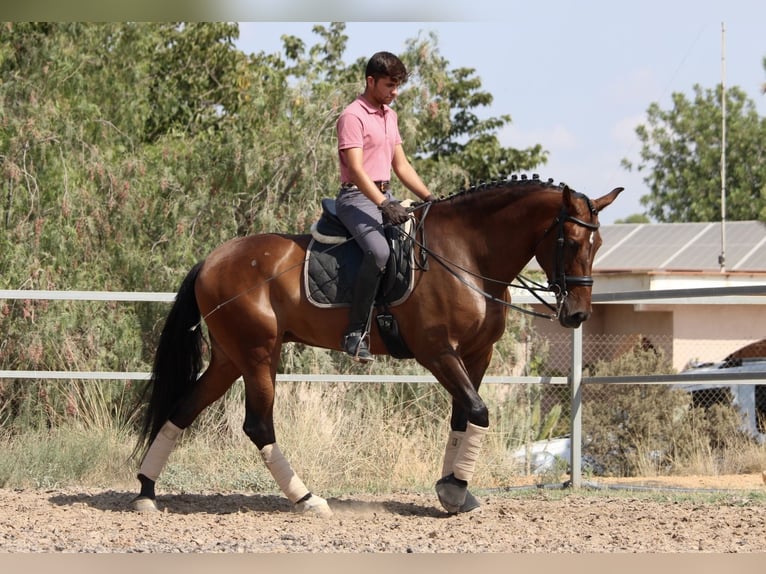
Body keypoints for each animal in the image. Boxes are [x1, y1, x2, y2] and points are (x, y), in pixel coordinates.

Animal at [132, 176, 624, 516]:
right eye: (571, 241)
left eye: (598, 242)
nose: (577, 315)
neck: (467, 254)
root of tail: (212, 259)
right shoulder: (437, 352)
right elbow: (479, 412)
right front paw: (455, 491)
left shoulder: (475, 355)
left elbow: (463, 416)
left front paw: (453, 487)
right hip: (258, 354)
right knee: (258, 426)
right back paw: (307, 499)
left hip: (230, 357)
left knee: (182, 409)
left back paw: (146, 492)